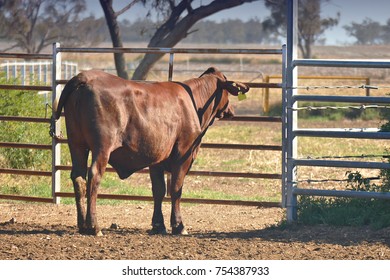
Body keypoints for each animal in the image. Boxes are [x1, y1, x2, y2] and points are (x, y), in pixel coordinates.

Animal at [53, 66, 248, 235]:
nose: (231, 110)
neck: (193, 103)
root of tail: (84, 77)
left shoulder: (157, 158)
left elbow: (159, 190)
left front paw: (158, 225)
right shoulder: (183, 154)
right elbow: (176, 188)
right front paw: (179, 225)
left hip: (76, 144)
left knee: (78, 177)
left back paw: (82, 225)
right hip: (102, 147)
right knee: (94, 176)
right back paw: (94, 226)